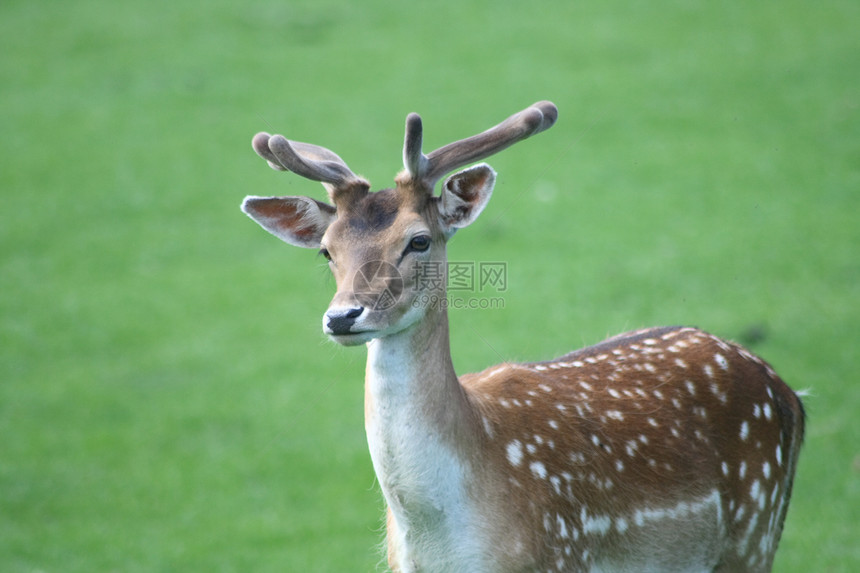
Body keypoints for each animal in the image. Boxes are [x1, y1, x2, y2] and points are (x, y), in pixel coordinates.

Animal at [242, 103, 808, 572]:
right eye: (327, 249)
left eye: (418, 241)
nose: (342, 317)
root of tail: (788, 393)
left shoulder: (561, 554)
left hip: (754, 530)